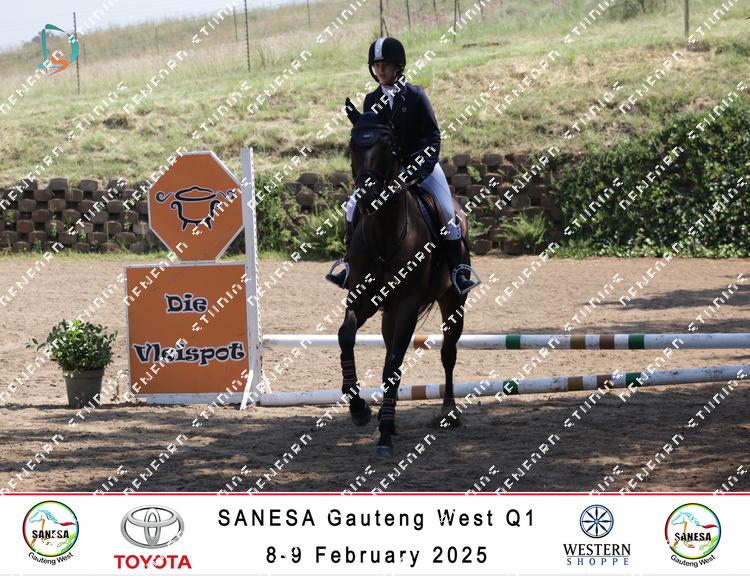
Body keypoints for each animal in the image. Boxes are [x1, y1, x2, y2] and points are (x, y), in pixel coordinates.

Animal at [337, 101, 473, 460]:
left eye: (386, 143)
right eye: (352, 144)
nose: (367, 197)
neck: (385, 234)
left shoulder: (410, 304)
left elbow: (394, 365)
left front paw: (384, 437)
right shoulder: (362, 298)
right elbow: (346, 337)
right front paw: (359, 409)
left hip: (453, 302)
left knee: (448, 353)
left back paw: (448, 412)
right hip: (389, 312)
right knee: (388, 348)